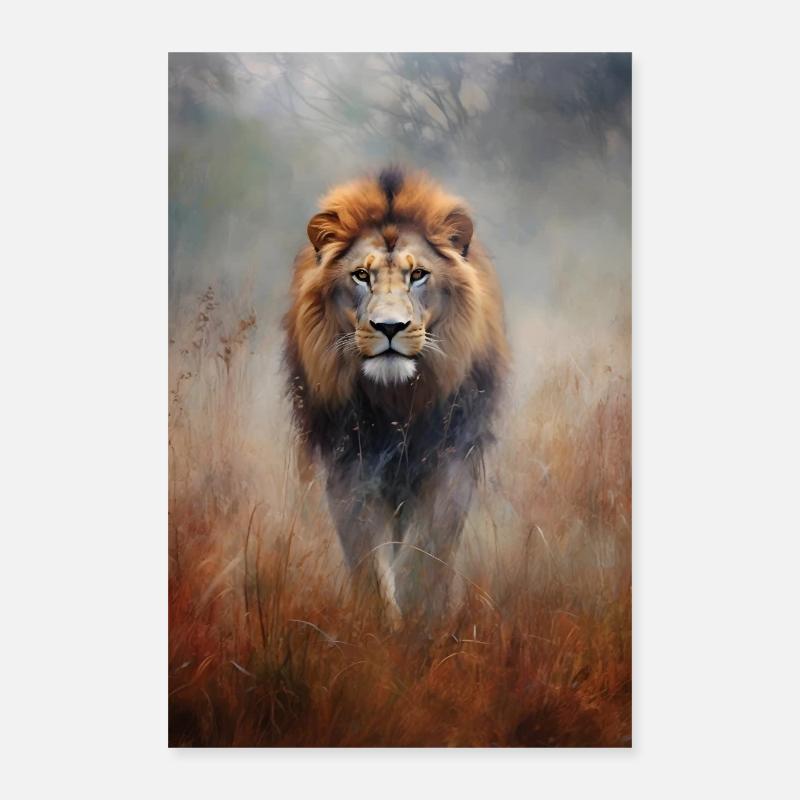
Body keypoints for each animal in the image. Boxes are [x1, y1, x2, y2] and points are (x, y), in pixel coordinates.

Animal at [283, 167, 509, 622]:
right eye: (361, 275)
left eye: (418, 274)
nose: (389, 327)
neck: (398, 402)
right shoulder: (349, 464)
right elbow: (367, 557)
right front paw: (378, 624)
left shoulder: (451, 458)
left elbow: (427, 550)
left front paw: (422, 616)